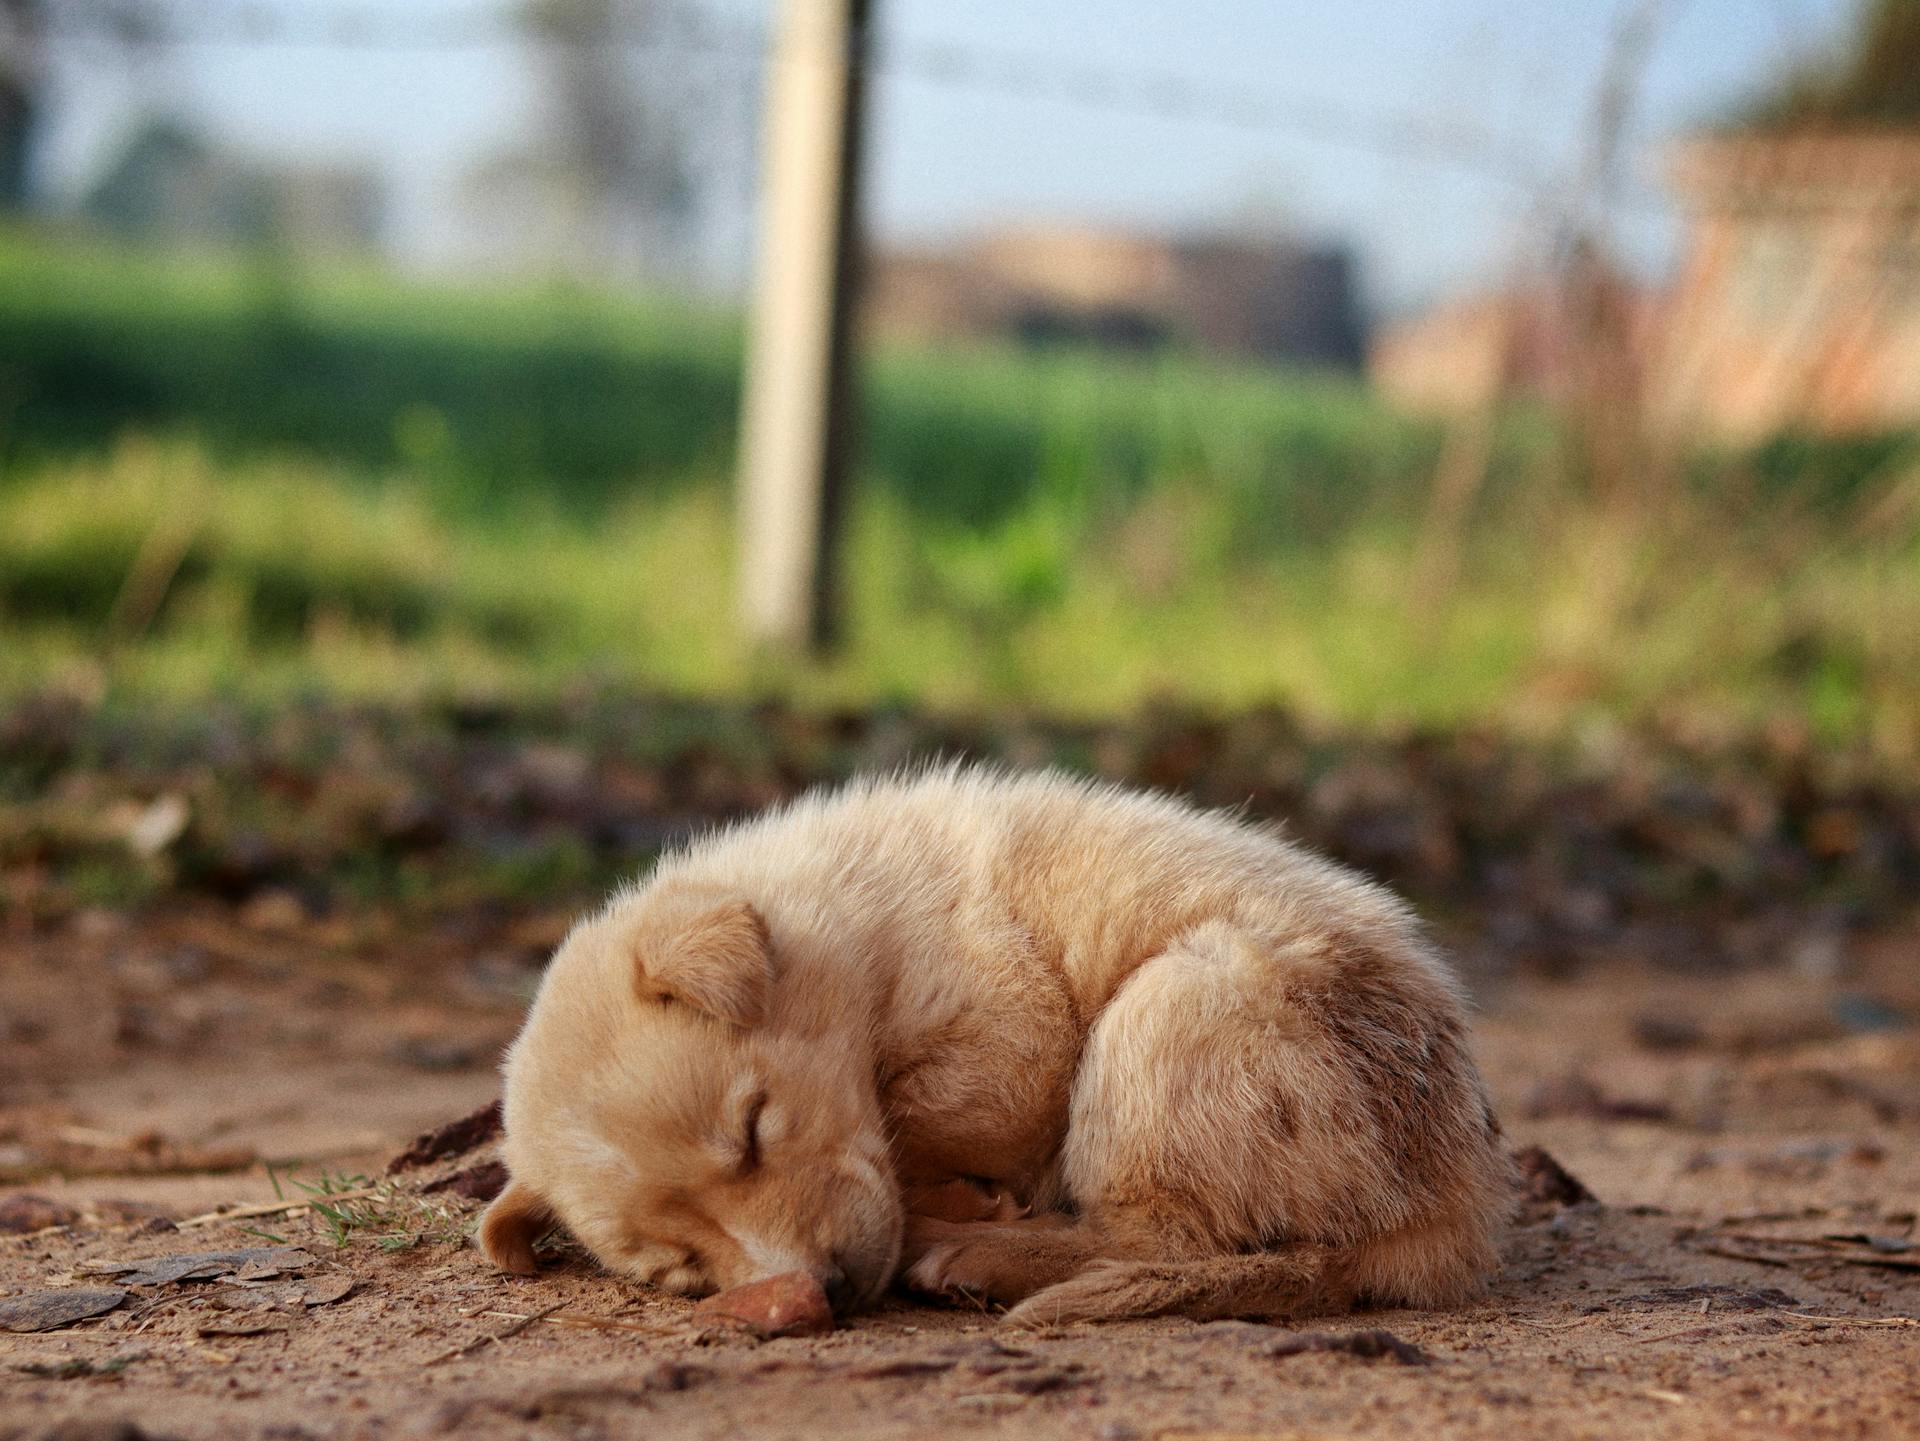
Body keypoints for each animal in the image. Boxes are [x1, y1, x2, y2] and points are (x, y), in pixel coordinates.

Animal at [476, 767, 1512, 1327]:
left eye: (753, 1129)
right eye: (678, 1267)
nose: (825, 1290)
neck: (846, 926)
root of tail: (1452, 1215)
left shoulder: (1009, 1021)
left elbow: (933, 1114)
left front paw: (958, 1194)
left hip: (1172, 1011)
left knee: (1155, 1235)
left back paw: (963, 1250)